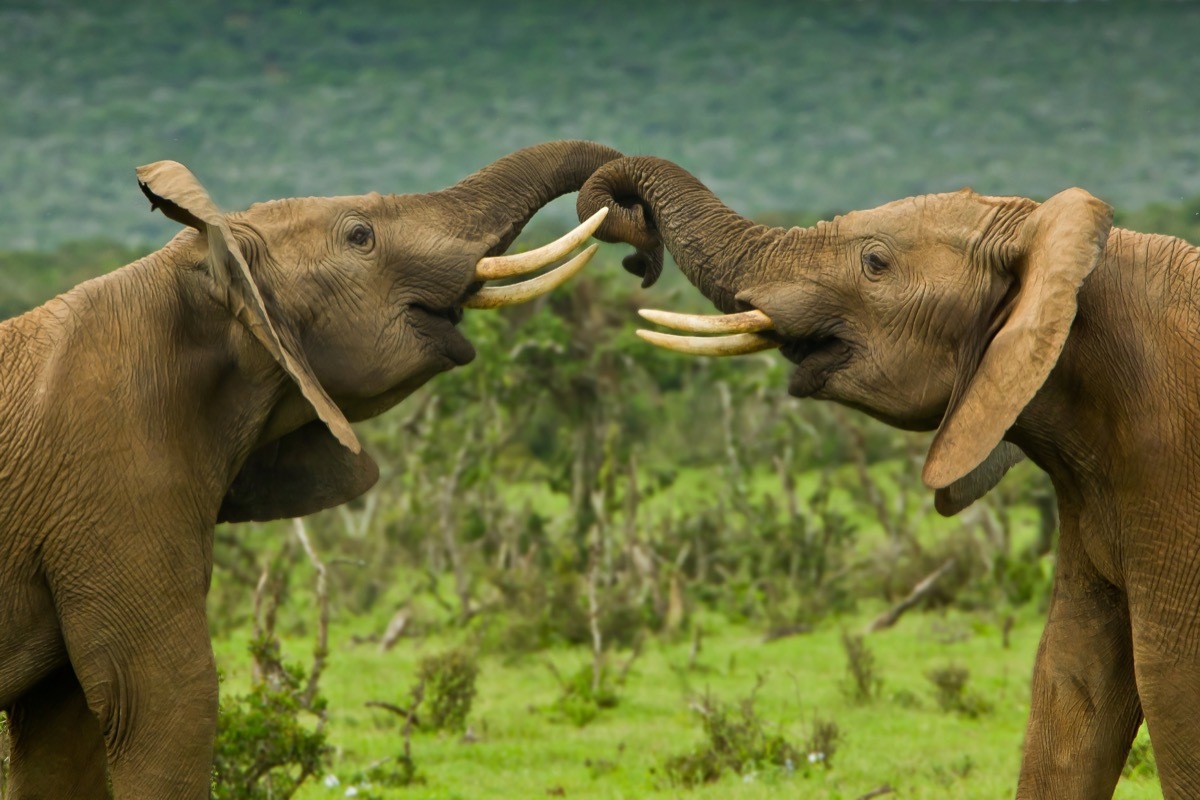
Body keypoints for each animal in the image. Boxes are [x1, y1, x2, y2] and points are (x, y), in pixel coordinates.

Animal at [0, 140, 619, 796]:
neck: (201, 264)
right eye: (360, 235)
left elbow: (62, 736)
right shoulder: (112, 478)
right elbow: (166, 703)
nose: (625, 208)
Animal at [576, 153, 1200, 796]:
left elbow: (1168, 683)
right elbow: (1072, 676)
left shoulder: (1169, 459)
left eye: (875, 262)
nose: (635, 246)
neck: (1072, 255)